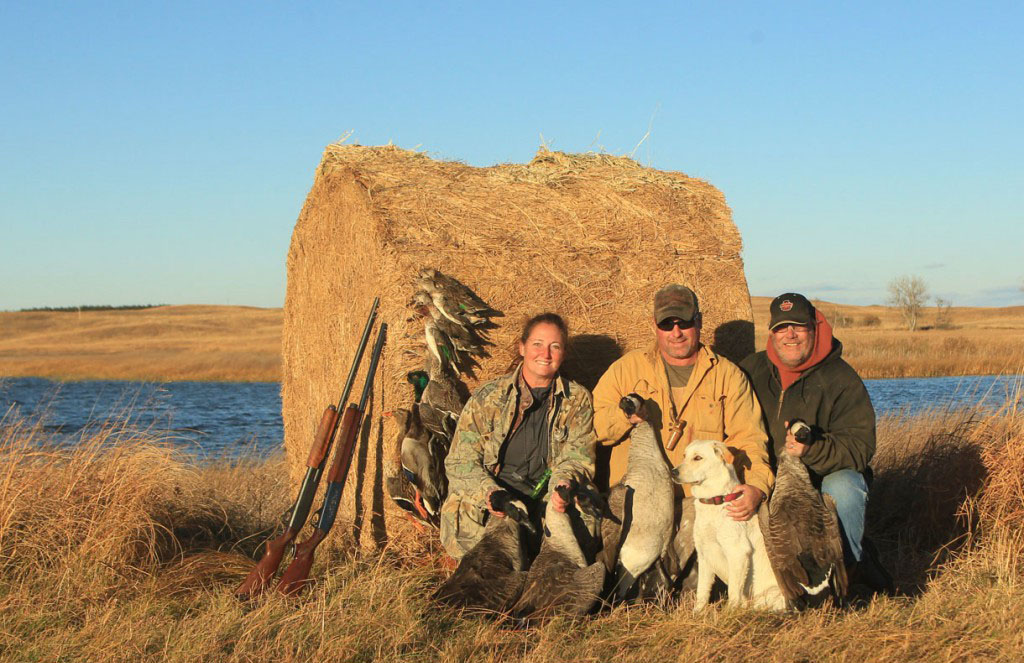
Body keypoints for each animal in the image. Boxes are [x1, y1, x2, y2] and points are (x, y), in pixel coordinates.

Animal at [675, 440, 786, 610]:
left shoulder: (738, 553)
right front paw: (697, 613)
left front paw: (730, 612)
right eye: (684, 456)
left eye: (698, 458)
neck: (715, 501)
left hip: (769, 596)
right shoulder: (704, 555)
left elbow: (733, 592)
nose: (673, 472)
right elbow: (702, 591)